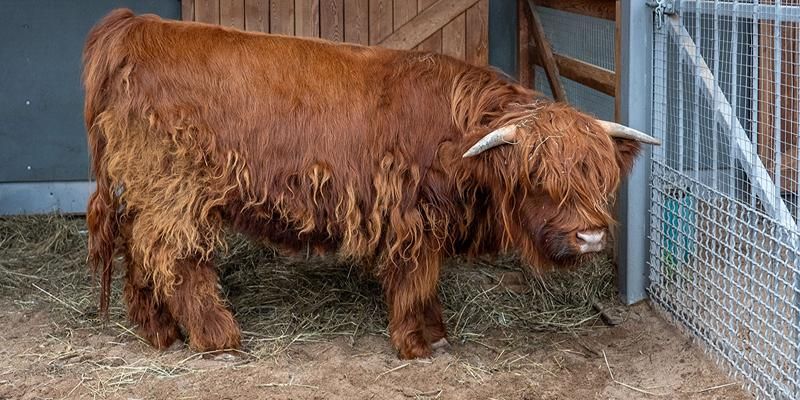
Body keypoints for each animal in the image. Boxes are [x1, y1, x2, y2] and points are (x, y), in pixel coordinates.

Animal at [83, 9, 659, 360]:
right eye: (537, 176)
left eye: (599, 176)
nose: (591, 236)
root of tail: (137, 26)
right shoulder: (410, 218)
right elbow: (415, 279)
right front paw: (419, 343)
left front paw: (435, 333)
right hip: (177, 192)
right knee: (174, 257)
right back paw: (217, 337)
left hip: (148, 192)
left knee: (139, 250)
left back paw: (157, 331)